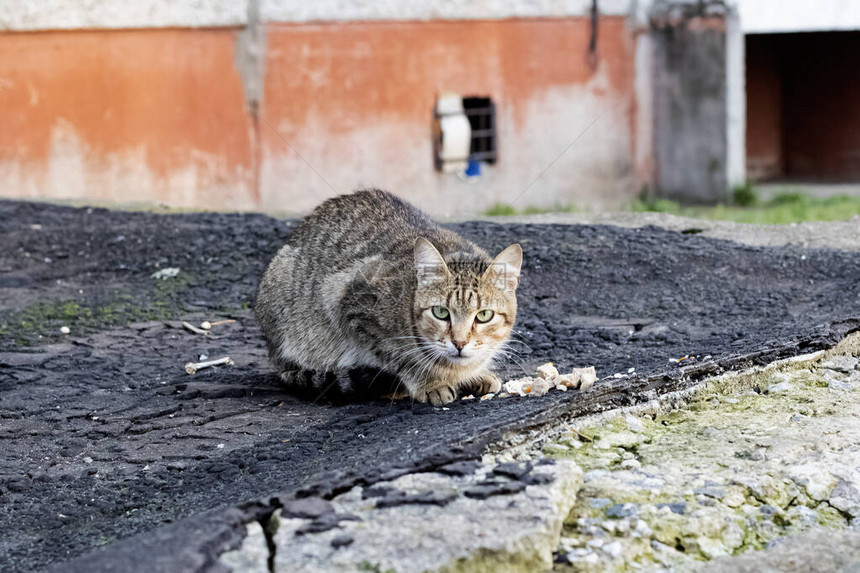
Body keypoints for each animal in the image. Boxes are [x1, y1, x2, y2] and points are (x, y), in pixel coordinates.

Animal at [254, 190, 524, 404]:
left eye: (484, 315)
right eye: (440, 313)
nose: (459, 343)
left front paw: (476, 374)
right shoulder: (347, 301)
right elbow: (397, 356)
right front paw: (429, 382)